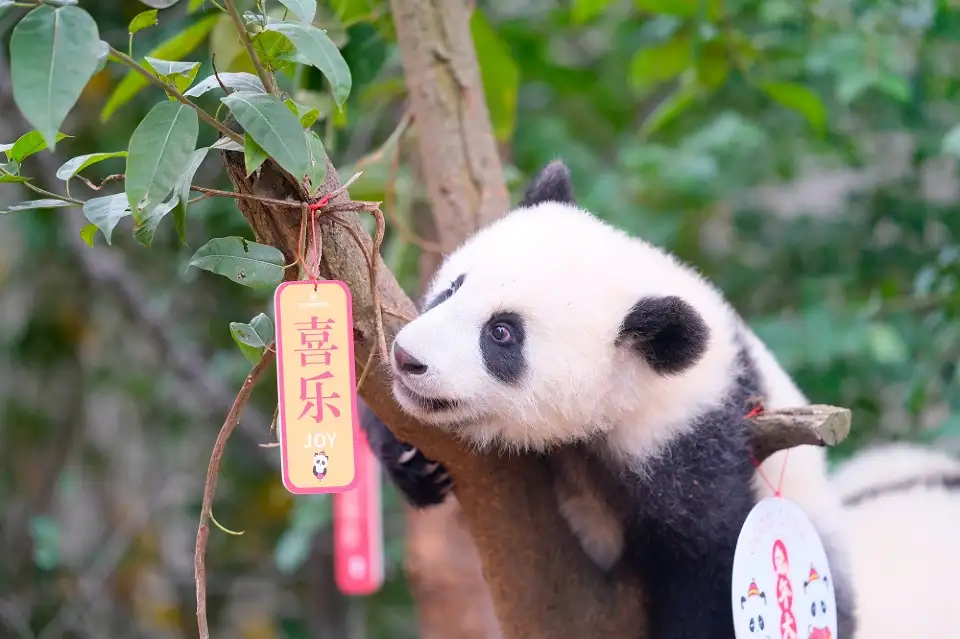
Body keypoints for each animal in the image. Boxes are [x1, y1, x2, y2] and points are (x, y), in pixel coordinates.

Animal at [365, 160, 858, 639]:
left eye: (502, 333)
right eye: (452, 288)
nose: (407, 358)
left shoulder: (686, 438)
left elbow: (712, 559)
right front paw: (413, 463)